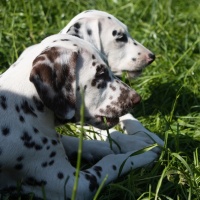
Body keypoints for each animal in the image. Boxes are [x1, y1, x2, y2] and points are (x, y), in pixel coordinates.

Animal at [0, 34, 162, 198]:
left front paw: (129, 144)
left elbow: (79, 142)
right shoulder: (72, 184)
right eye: (100, 74)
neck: (24, 102)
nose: (137, 99)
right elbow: (110, 162)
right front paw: (139, 155)